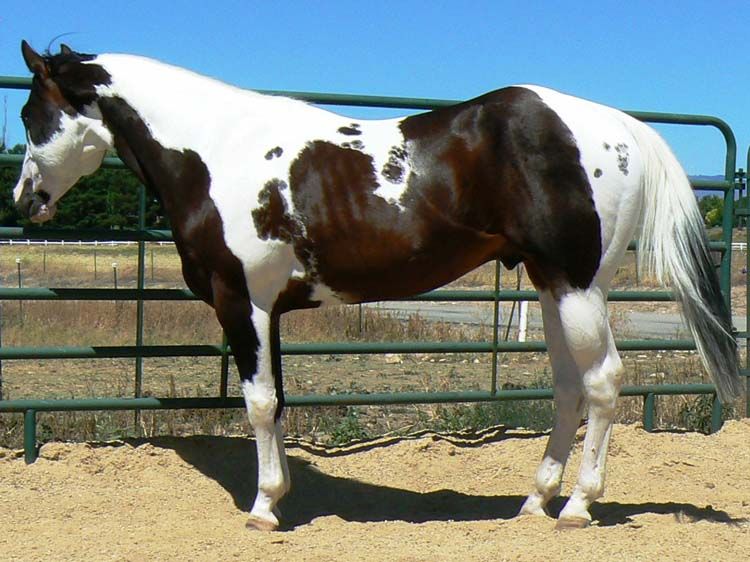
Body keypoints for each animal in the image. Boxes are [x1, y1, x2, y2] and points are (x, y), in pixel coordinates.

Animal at [12, 41, 741, 531]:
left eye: (30, 113)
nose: (25, 200)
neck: (216, 152)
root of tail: (622, 128)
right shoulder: (269, 311)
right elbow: (278, 403)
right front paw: (279, 497)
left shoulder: (242, 303)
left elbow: (258, 404)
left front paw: (264, 508)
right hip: (551, 286)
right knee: (568, 386)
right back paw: (535, 501)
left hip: (578, 285)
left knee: (604, 381)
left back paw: (579, 507)